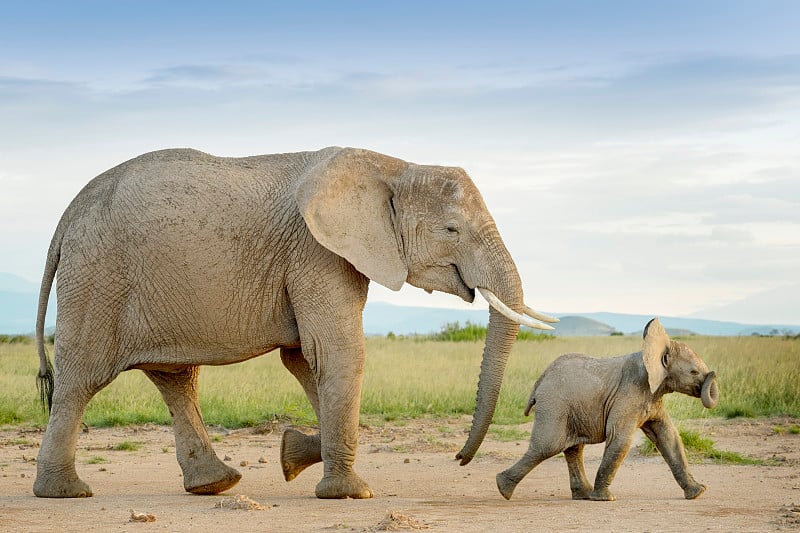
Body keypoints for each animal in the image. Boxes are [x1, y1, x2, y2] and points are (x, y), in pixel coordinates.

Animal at [31, 145, 556, 498]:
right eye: (451, 229)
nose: (460, 460)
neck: (392, 166)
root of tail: (66, 216)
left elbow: (304, 358)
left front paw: (292, 455)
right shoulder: (316, 252)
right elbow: (338, 354)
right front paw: (351, 493)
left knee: (176, 379)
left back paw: (215, 484)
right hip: (98, 277)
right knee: (82, 379)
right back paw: (65, 493)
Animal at [500, 318, 720, 500]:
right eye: (694, 372)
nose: (714, 373)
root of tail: (540, 381)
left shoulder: (653, 397)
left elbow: (669, 437)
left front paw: (698, 493)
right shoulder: (629, 394)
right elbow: (620, 439)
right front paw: (605, 499)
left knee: (572, 448)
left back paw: (583, 495)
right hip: (554, 405)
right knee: (548, 446)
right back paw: (503, 488)